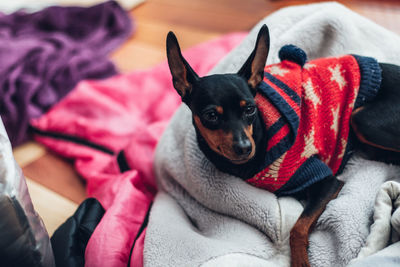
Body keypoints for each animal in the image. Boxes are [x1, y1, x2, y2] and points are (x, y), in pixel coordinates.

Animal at [165, 24, 400, 266]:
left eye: (250, 109)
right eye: (211, 115)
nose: (244, 147)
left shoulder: (327, 182)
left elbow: (298, 227)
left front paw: (301, 261)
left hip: (361, 119)